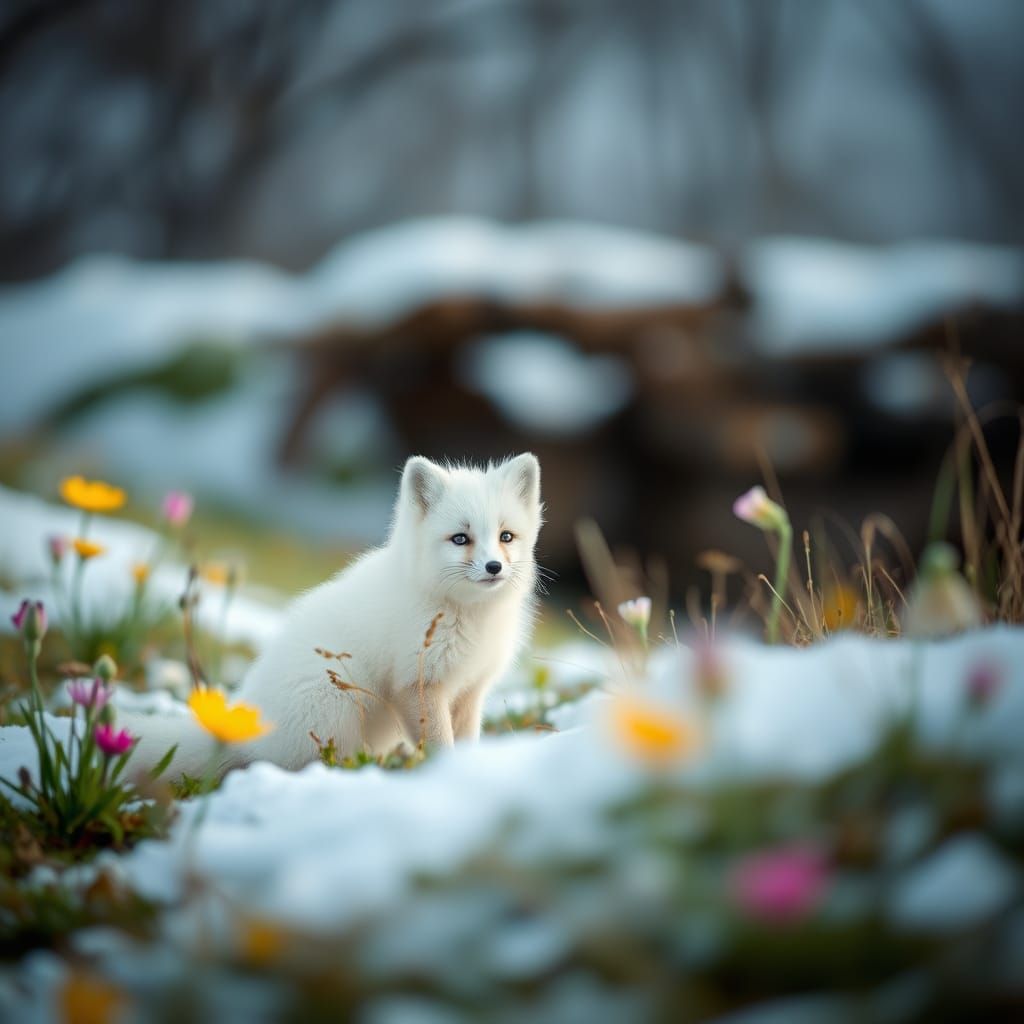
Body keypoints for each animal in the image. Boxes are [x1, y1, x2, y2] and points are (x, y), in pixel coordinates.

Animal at [128, 453, 543, 779]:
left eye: (506, 536)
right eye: (460, 539)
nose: (493, 567)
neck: (466, 614)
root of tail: (247, 731)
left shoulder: (471, 690)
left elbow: (467, 739)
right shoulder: (418, 685)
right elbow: (441, 744)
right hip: (337, 708)